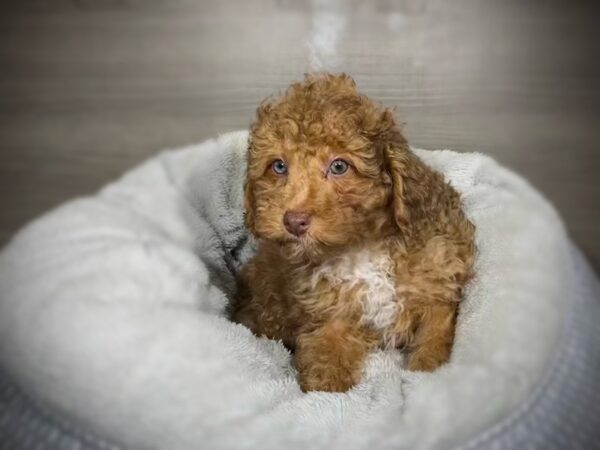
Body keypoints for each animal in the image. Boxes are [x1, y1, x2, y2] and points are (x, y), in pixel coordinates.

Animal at [232, 72, 476, 392]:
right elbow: (327, 357)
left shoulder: (438, 285)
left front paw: (428, 377)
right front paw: (326, 395)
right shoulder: (332, 315)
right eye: (279, 166)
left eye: (339, 166)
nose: (294, 221)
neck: (363, 247)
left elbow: (435, 340)